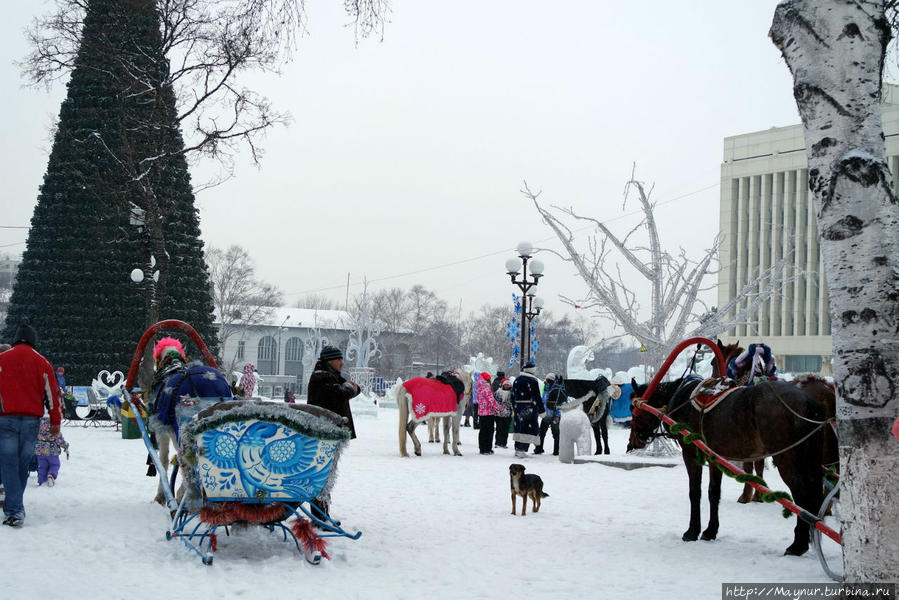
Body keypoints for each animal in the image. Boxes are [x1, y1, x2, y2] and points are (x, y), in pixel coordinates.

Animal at [628, 354, 828, 556]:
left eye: (632, 408)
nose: (633, 441)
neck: (681, 398)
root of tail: (808, 402)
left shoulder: (691, 453)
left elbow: (695, 492)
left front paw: (692, 531)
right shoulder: (714, 458)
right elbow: (713, 493)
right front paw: (710, 531)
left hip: (788, 460)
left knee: (802, 497)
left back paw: (797, 544)